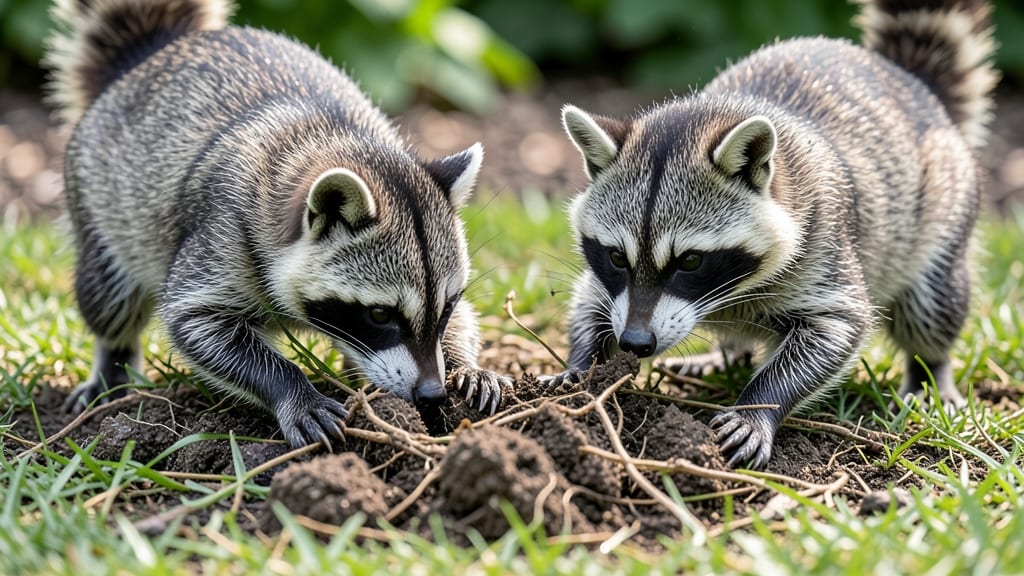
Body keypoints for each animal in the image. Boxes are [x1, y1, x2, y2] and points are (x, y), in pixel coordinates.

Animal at [45, 0, 511, 448]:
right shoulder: (222, 231)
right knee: (108, 298)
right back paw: (113, 359)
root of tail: (157, 50)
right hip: (99, 200)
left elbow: (461, 319)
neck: (332, 138)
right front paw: (291, 389)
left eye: (445, 305)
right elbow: (195, 320)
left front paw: (464, 361)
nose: (431, 393)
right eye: (380, 314)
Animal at [555, 0, 998, 468]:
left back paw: (932, 367)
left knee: (932, 304)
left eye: (690, 261)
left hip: (945, 209)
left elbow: (838, 325)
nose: (636, 342)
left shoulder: (822, 241)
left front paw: (760, 404)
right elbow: (595, 298)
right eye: (617, 257)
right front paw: (579, 363)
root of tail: (907, 80)